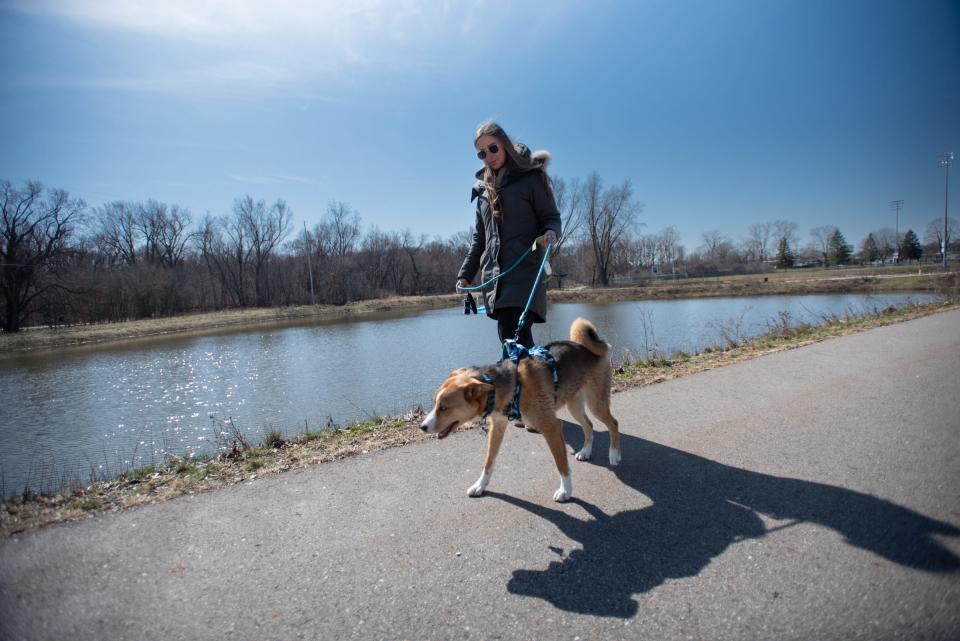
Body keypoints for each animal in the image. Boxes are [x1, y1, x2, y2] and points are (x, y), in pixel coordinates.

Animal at [422, 318, 624, 502]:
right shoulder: (497, 427)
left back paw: (614, 454)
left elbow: (561, 464)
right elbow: (488, 461)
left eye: (444, 408)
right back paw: (586, 451)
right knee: (589, 425)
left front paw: (565, 491)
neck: (507, 386)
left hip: (595, 403)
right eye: (434, 403)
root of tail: (583, 346)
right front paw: (480, 485)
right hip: (574, 405)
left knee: (613, 423)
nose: (422, 427)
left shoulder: (551, 426)